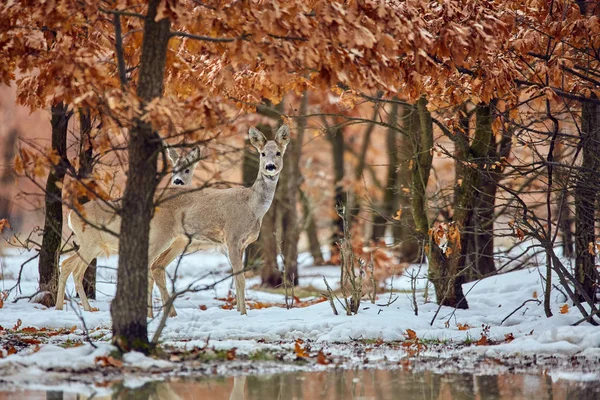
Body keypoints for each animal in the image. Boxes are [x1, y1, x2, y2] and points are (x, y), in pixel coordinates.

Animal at [56, 125, 288, 316]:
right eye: (262, 153)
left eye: (278, 152)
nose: (270, 166)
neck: (253, 206)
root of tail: (70, 216)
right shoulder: (231, 236)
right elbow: (240, 278)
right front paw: (243, 313)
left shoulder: (242, 243)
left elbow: (238, 276)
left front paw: (240, 310)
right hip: (144, 236)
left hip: (118, 243)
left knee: (69, 264)